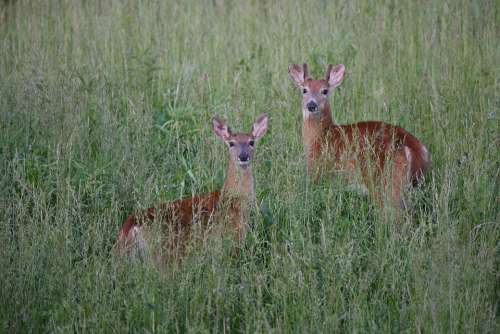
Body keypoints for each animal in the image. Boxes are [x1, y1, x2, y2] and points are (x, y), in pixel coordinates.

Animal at [116, 115, 268, 260]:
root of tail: (130, 227)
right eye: (231, 143)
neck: (233, 199)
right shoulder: (232, 241)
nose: (243, 156)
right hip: (164, 254)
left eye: (251, 142)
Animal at [290, 62, 430, 209]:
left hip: (385, 182)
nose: (311, 105)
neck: (321, 135)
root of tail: (416, 149)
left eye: (325, 91)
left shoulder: (317, 169)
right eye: (304, 90)